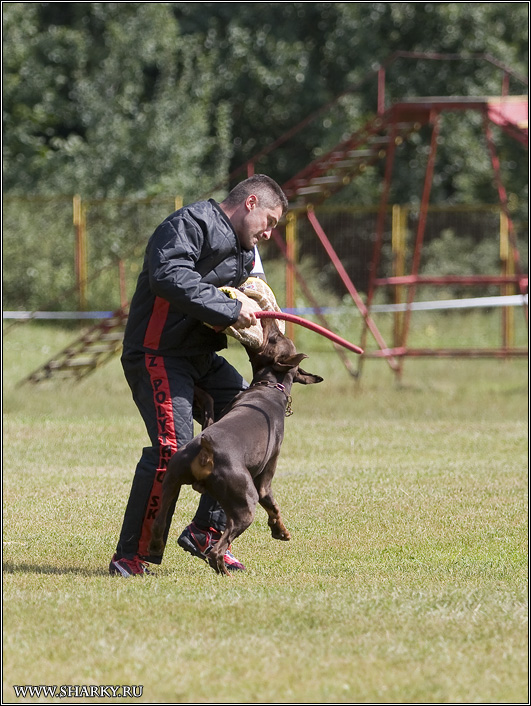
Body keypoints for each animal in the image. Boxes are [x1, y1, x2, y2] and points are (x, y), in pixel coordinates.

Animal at [148, 317, 323, 574]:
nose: (269, 319)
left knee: (160, 523)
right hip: (246, 504)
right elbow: (273, 505)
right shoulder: (265, 479)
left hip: (171, 481)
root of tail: (206, 452)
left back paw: (155, 547)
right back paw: (225, 571)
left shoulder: (212, 419)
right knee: (216, 550)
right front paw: (280, 531)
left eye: (275, 338)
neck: (270, 388)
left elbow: (209, 402)